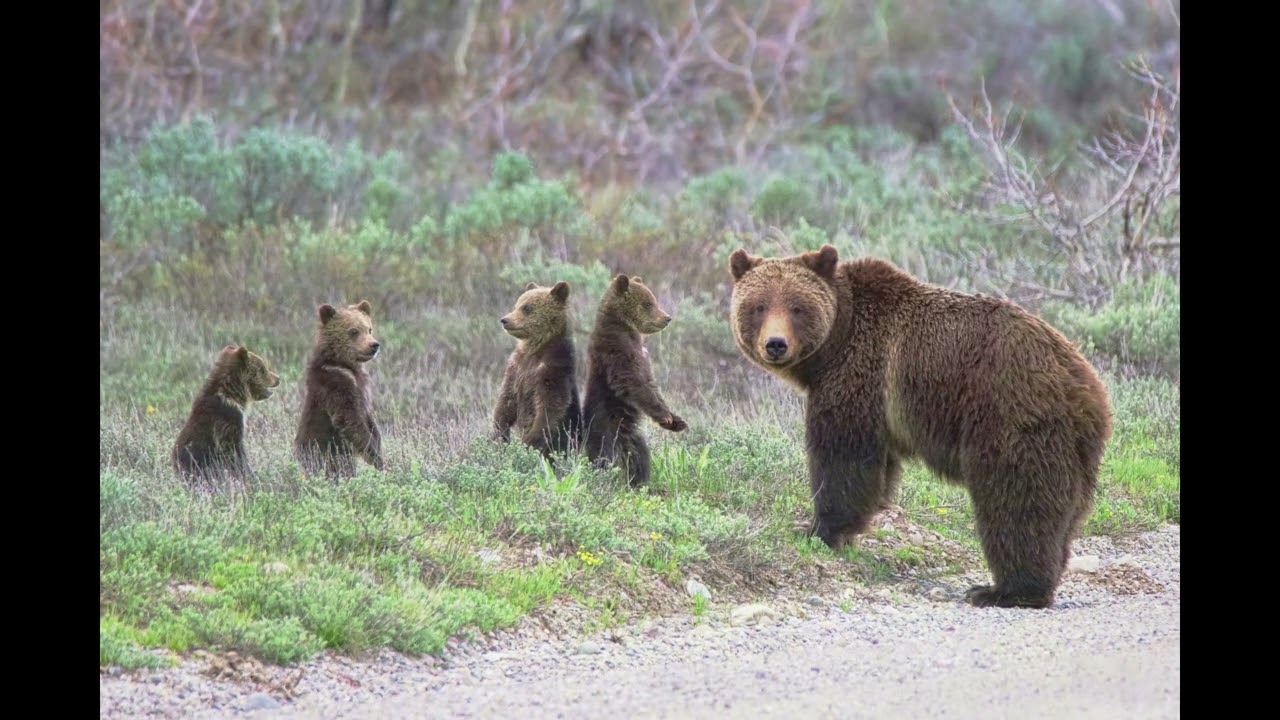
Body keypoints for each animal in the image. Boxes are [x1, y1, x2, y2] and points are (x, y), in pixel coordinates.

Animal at [172, 344, 280, 484]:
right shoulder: (228, 419)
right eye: (263, 368)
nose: (278, 378)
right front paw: (248, 474)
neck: (233, 395)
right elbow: (234, 451)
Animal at [293, 300, 385, 480]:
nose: (374, 345)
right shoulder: (336, 385)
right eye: (354, 331)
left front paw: (378, 446)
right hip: (323, 450)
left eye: (369, 328)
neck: (344, 364)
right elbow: (350, 421)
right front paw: (377, 459)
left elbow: (369, 420)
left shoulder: (363, 387)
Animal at [492, 280, 583, 460]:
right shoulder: (516, 368)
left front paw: (530, 442)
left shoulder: (553, 370)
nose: (505, 320)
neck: (535, 351)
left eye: (527, 308)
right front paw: (499, 436)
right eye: (516, 305)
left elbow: (550, 407)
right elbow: (506, 401)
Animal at [582, 273, 688, 487]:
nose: (667, 318)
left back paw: (639, 481)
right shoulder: (617, 351)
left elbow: (651, 386)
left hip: (631, 435)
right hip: (605, 425)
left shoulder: (643, 358)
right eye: (648, 303)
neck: (625, 329)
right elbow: (632, 382)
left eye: (653, 300)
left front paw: (676, 421)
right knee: (603, 455)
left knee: (639, 455)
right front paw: (665, 416)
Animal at [728, 243, 1113, 609]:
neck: (835, 343)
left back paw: (1004, 591)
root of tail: (1086, 385)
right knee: (1065, 512)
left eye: (797, 307)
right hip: (1076, 448)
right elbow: (877, 470)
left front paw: (819, 529)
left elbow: (841, 457)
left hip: (1011, 413)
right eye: (758, 306)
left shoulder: (859, 373)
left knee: (1016, 499)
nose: (776, 344)